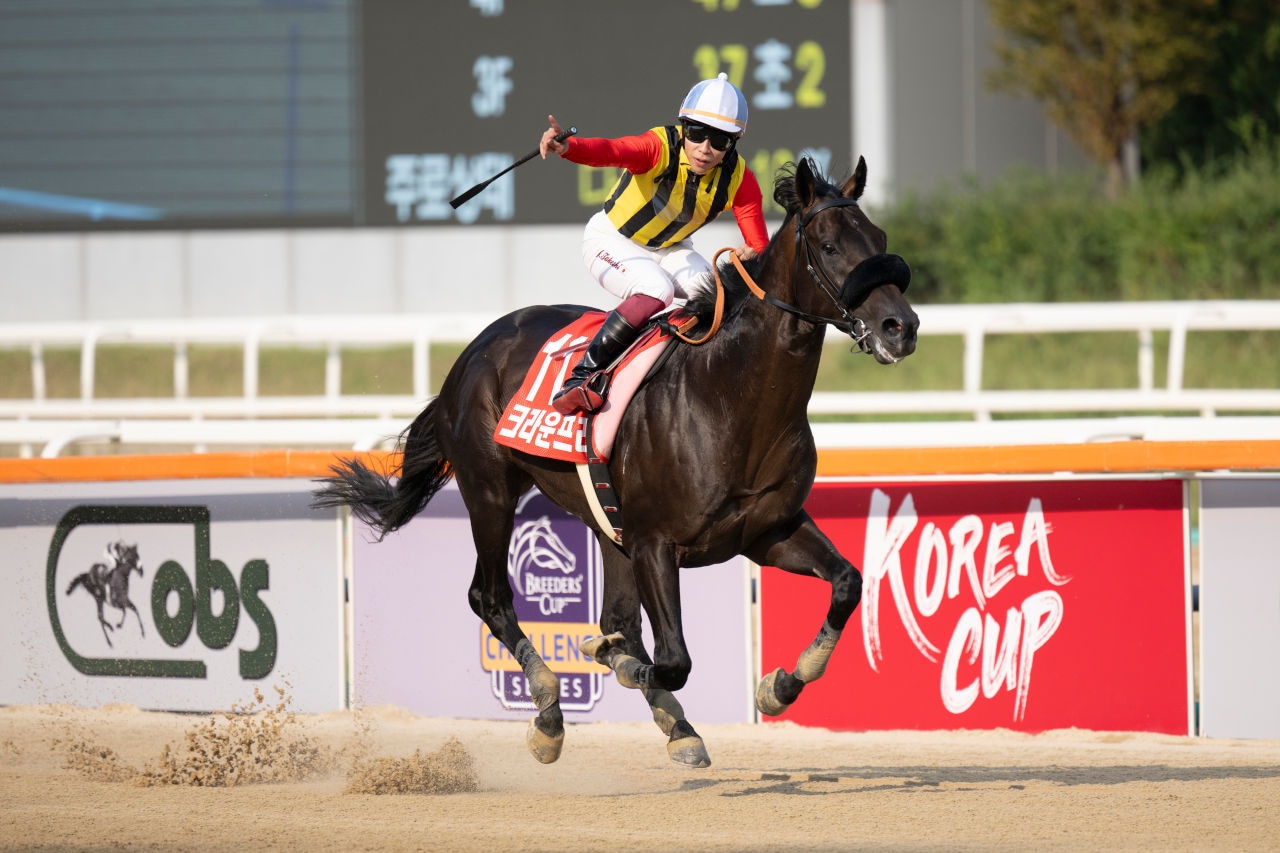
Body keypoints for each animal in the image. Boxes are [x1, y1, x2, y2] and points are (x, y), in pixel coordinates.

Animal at [313, 155, 918, 767]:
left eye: (880, 239)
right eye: (829, 244)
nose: (903, 327)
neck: (728, 398)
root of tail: (474, 351)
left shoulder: (766, 530)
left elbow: (847, 583)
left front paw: (779, 686)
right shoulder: (655, 542)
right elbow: (671, 659)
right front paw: (617, 666)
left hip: (603, 521)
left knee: (614, 616)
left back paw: (672, 722)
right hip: (490, 491)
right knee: (491, 597)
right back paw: (550, 714)